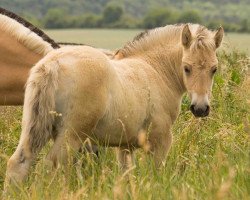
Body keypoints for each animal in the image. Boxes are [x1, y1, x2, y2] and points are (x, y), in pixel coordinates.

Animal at [5, 23, 225, 184]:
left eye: (214, 69)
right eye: (186, 68)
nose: (200, 108)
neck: (154, 69)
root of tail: (53, 64)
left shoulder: (125, 146)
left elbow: (126, 175)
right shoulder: (161, 138)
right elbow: (156, 172)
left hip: (37, 127)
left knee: (18, 163)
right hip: (71, 135)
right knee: (53, 165)